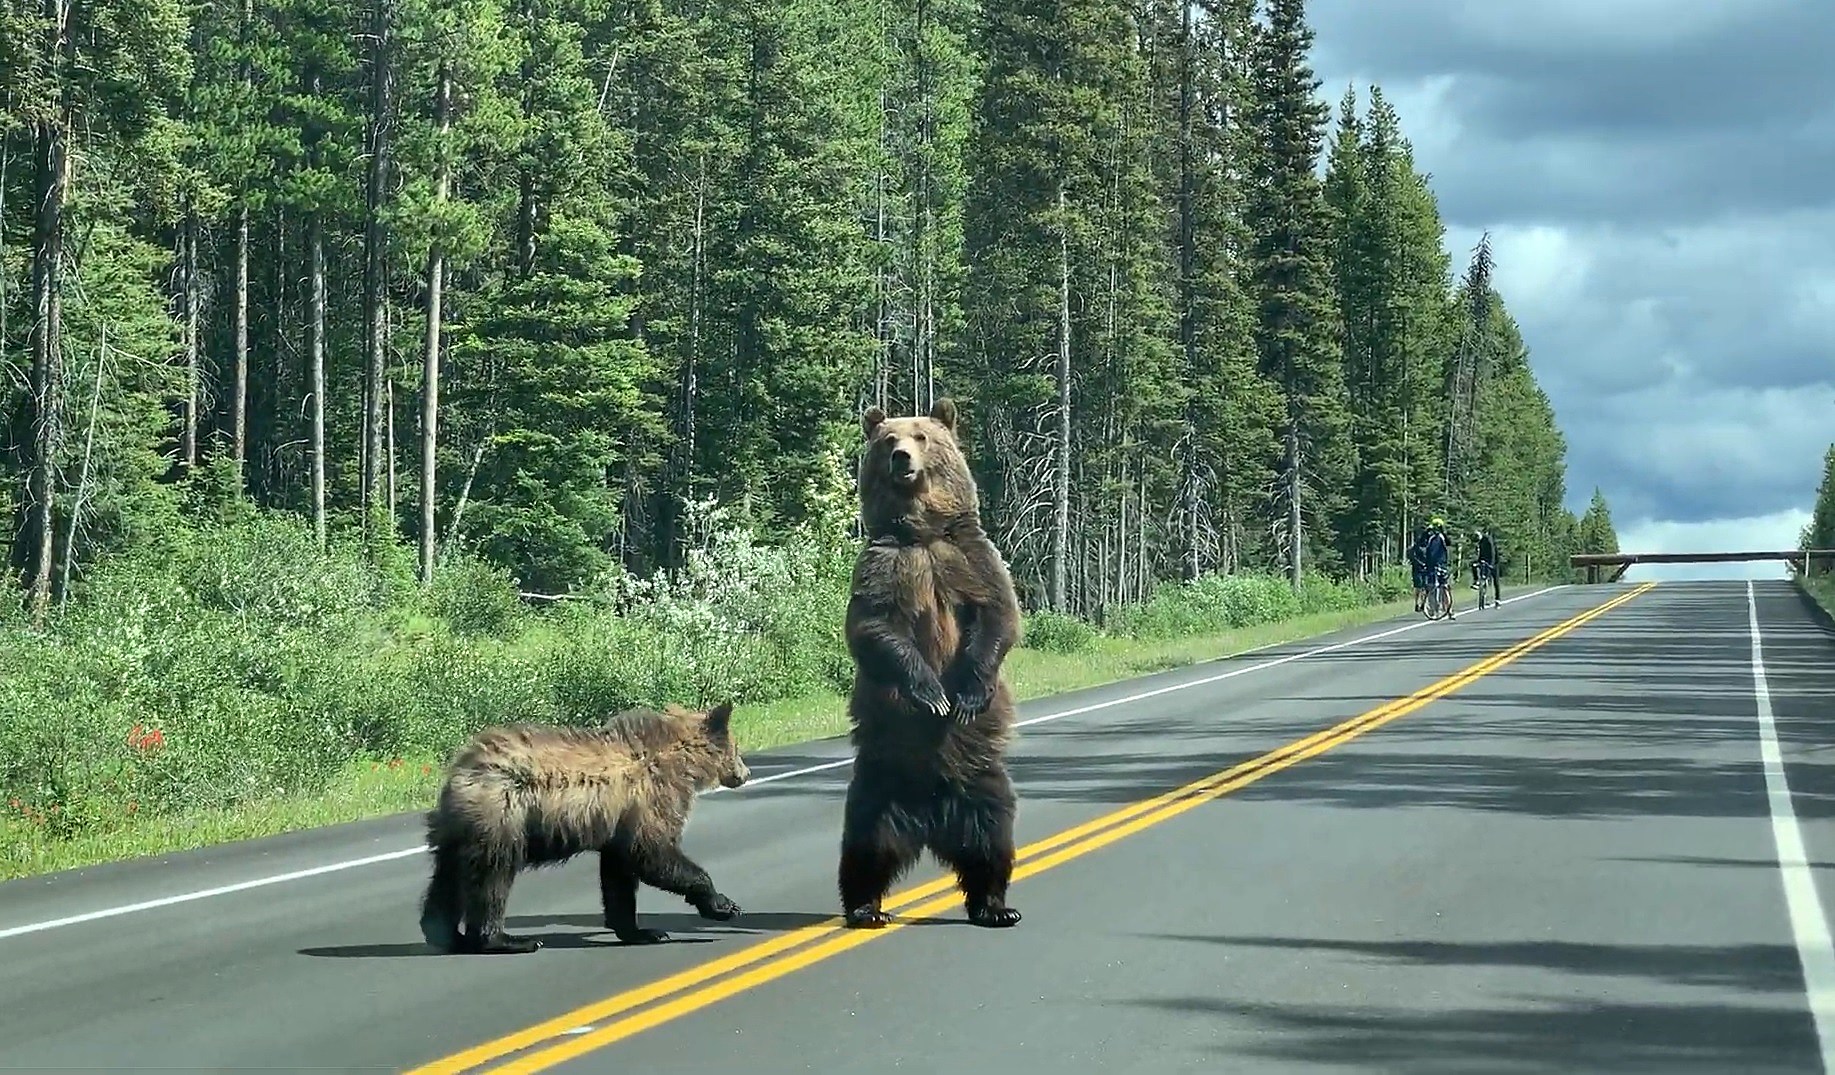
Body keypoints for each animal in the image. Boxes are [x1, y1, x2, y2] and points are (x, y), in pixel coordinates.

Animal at [840, 398, 1027, 924]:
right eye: (889, 438)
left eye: (922, 436)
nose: (902, 457)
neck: (922, 533)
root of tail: (930, 816)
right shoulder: (886, 567)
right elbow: (874, 627)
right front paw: (932, 694)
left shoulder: (968, 559)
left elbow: (997, 616)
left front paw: (964, 696)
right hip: (879, 777)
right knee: (865, 840)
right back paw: (865, 907)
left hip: (982, 776)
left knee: (992, 832)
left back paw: (995, 906)